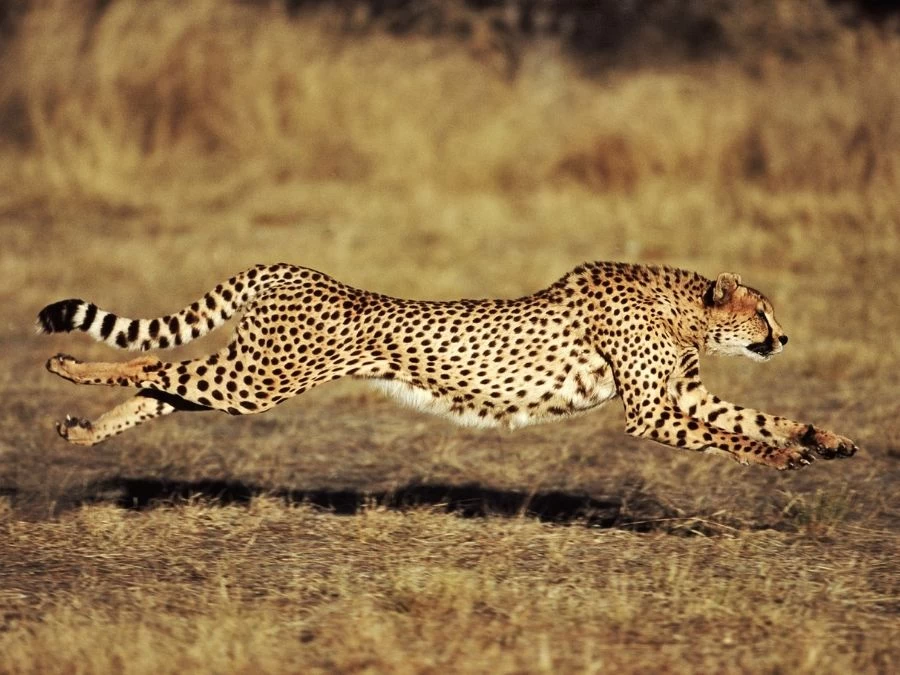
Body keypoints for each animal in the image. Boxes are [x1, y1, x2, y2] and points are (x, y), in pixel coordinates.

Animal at [37, 262, 858, 470]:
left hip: (249, 377)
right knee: (148, 359)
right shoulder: (651, 411)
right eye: (762, 313)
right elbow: (731, 434)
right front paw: (779, 459)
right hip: (260, 379)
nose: (784, 338)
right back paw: (68, 366)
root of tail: (294, 269)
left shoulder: (680, 397)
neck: (683, 307)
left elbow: (756, 416)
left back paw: (80, 430)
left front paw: (824, 439)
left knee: (160, 387)